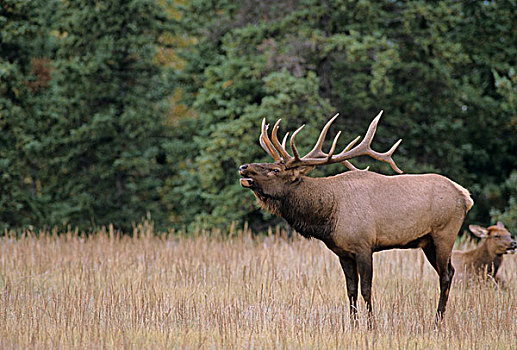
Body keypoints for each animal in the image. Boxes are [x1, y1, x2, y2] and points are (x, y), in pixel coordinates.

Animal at [240, 111, 474, 322]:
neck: (328, 217)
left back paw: (438, 321)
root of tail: (465, 196)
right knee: (450, 271)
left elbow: (366, 290)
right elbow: (350, 290)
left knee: (445, 275)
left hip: (444, 234)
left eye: (275, 170)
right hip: (427, 242)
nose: (244, 167)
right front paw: (352, 325)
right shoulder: (343, 252)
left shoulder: (364, 245)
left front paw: (371, 326)